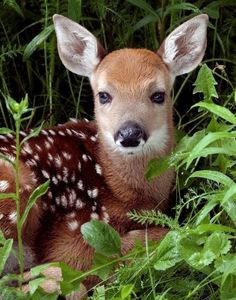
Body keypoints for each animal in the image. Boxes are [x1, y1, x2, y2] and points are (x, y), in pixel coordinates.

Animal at [0, 13, 207, 296]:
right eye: (104, 95)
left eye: (158, 95)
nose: (129, 133)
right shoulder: (75, 233)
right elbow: (165, 235)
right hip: (14, 186)